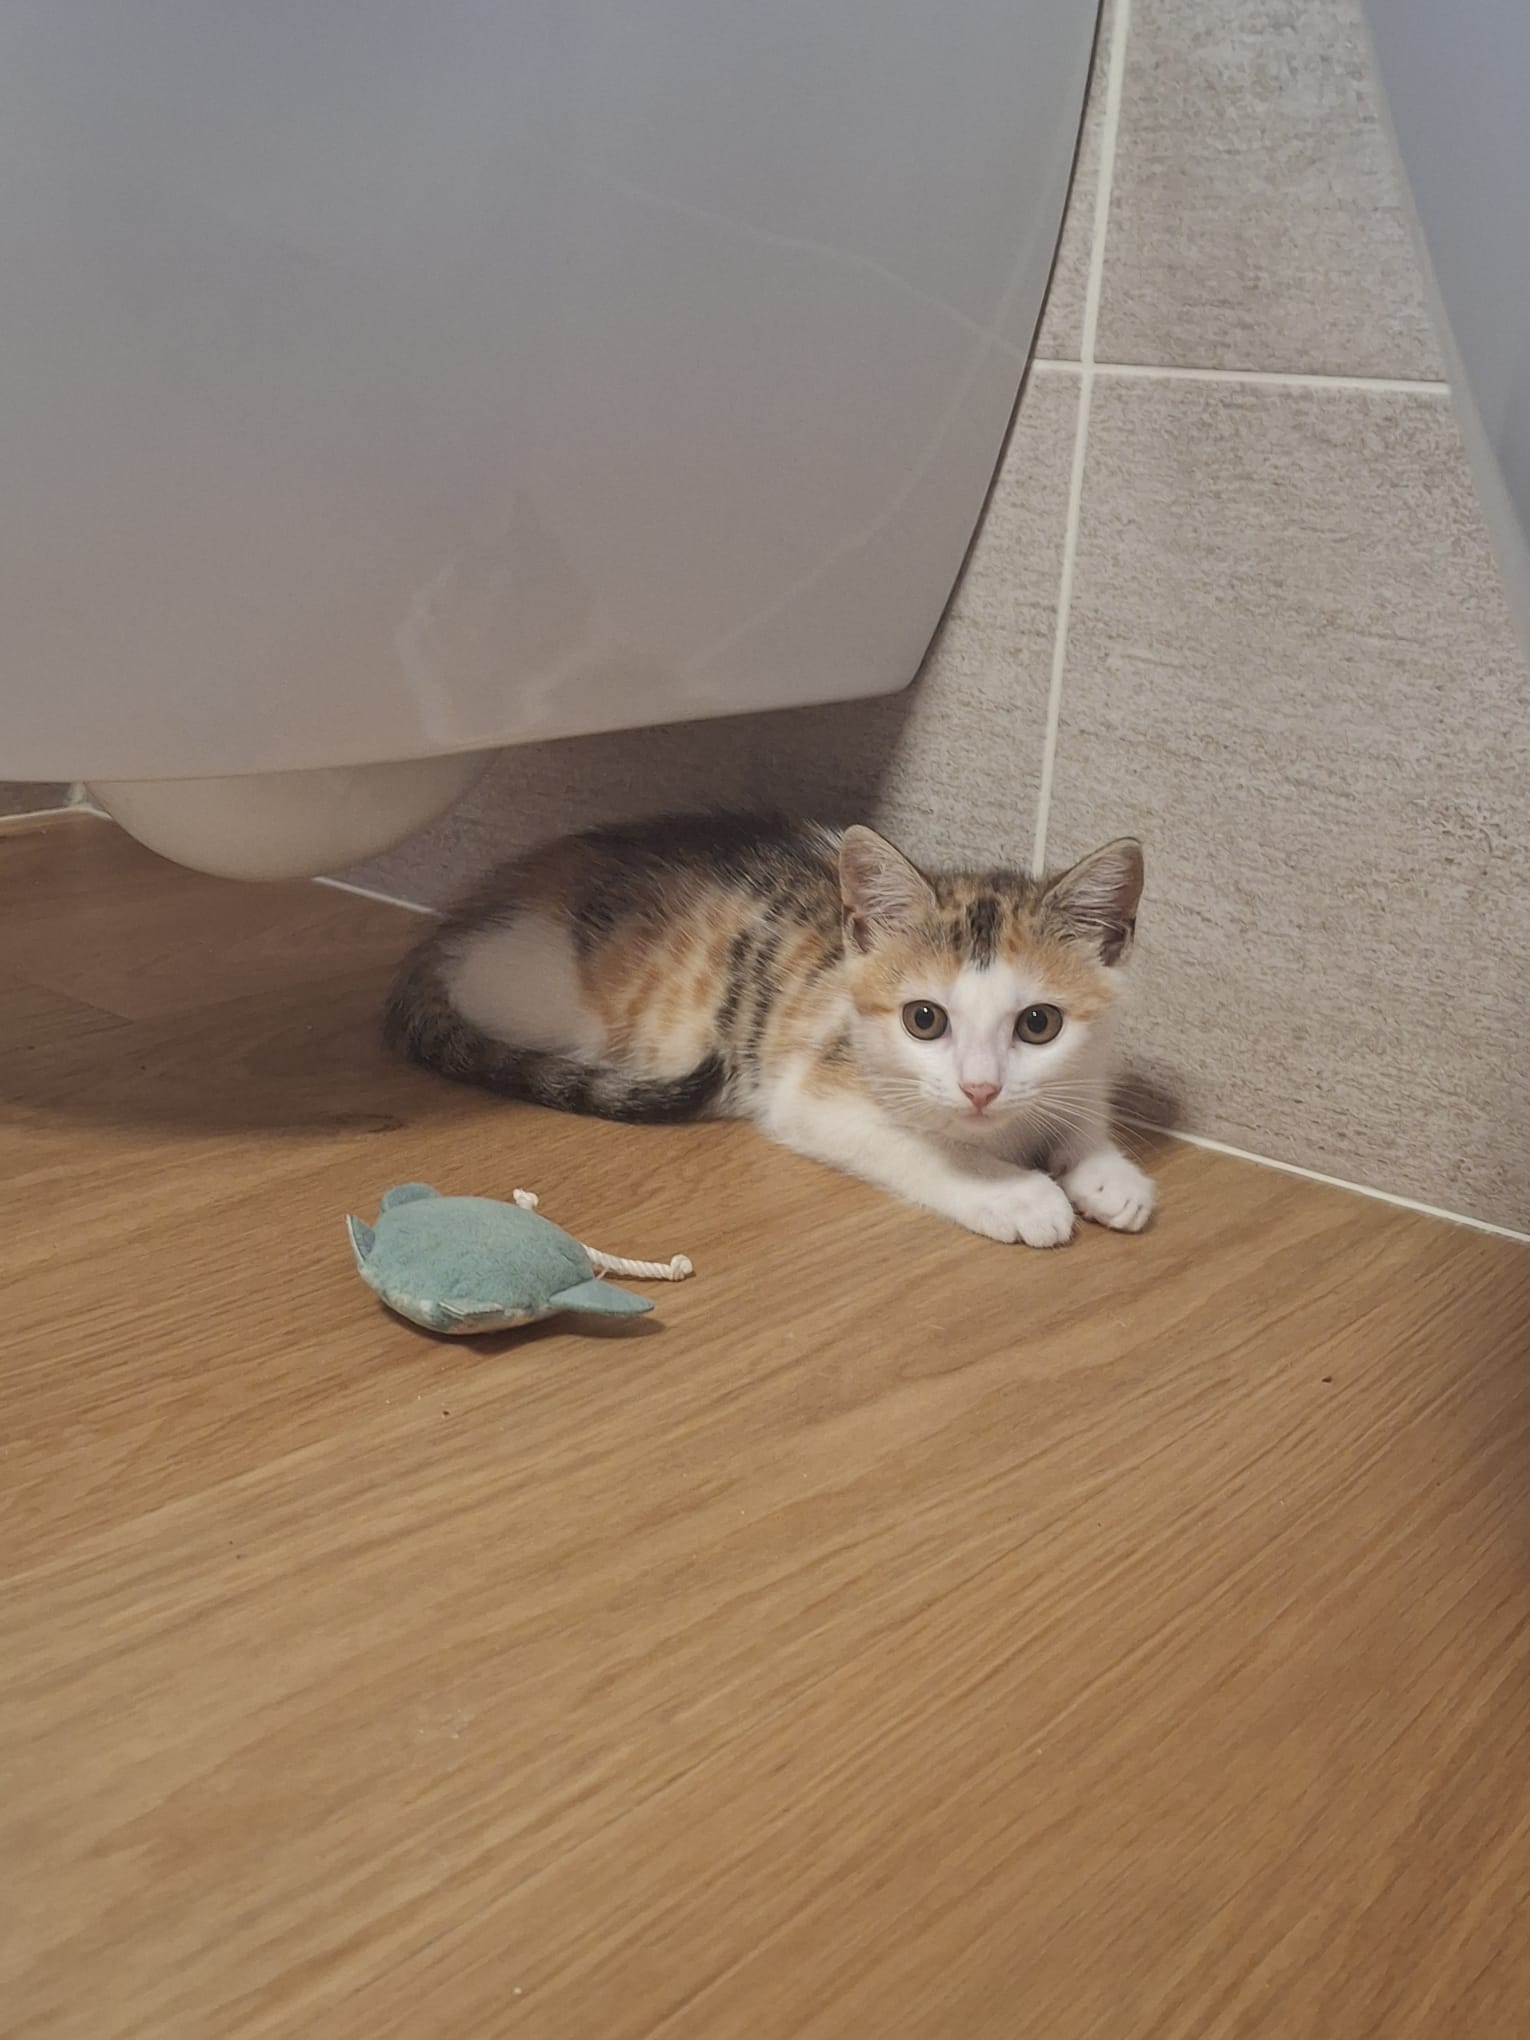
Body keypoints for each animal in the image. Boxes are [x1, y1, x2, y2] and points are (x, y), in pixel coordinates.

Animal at [384, 813, 1154, 1247]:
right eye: (924, 1019)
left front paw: (1107, 1170)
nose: (980, 1089)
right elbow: (920, 1147)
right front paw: (1014, 1193)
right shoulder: (810, 1090)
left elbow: (1081, 1101)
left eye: (1039, 1024)